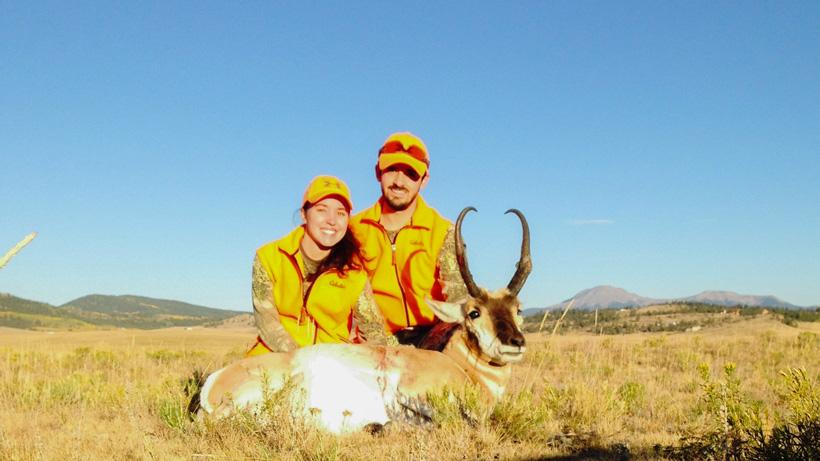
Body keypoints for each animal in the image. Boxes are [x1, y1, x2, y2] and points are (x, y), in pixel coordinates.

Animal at [194, 207, 531, 434]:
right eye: (474, 312)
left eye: (518, 309)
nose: (515, 342)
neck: (461, 369)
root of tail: (214, 381)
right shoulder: (408, 391)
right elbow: (454, 420)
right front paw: (382, 425)